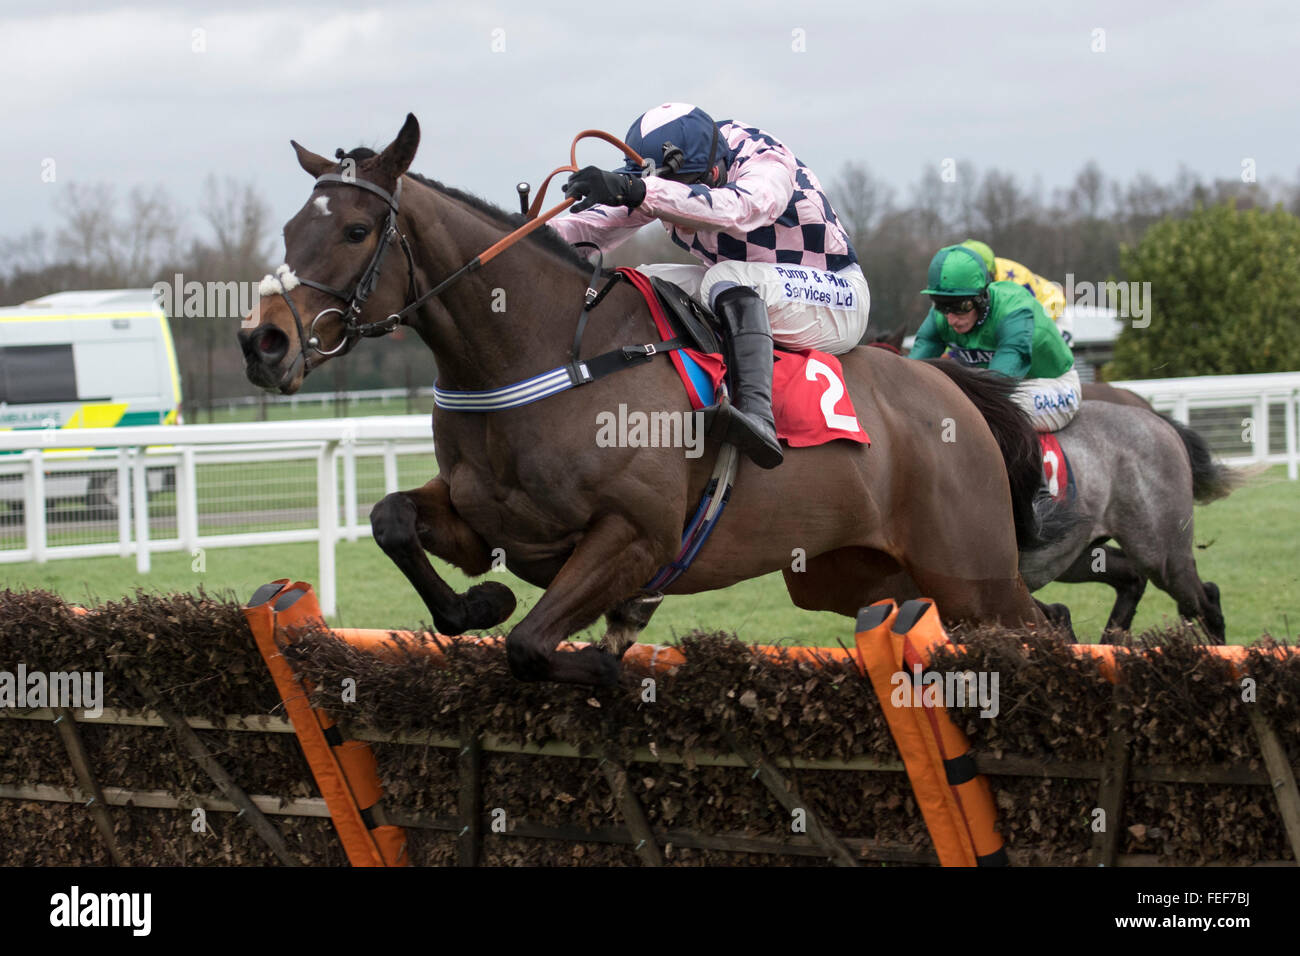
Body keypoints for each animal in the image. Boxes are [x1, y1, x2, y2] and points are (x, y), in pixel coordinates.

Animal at [239, 115, 1071, 686]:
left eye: (355, 229)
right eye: (288, 227)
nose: (263, 342)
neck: (548, 356)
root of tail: (948, 387)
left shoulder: (635, 536)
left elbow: (530, 646)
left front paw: (605, 658)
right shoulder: (490, 526)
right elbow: (393, 522)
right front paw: (480, 607)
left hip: (968, 569)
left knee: (1042, 628)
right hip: (858, 575)